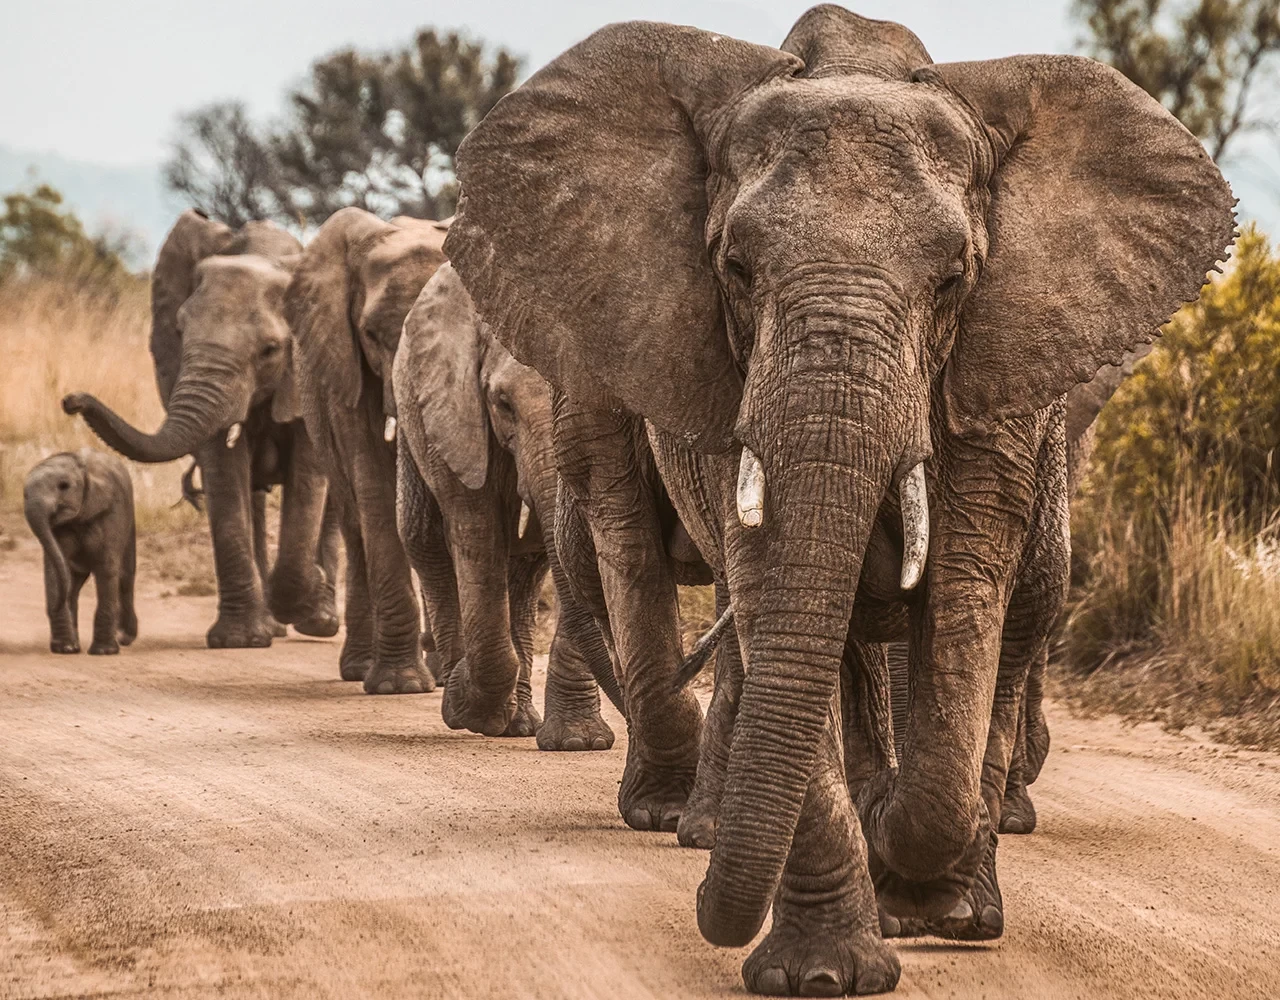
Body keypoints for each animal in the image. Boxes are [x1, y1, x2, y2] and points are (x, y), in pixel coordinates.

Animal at [25, 450, 137, 655]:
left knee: (125, 577)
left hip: (130, 520)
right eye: (24, 494)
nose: (54, 606)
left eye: (64, 486)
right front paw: (65, 649)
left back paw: (124, 638)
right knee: (73, 584)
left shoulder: (112, 512)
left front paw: (104, 652)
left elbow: (106, 567)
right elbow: (56, 567)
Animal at [61, 211, 340, 647]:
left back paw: (320, 621)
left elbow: (309, 476)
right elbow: (224, 474)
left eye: (270, 350)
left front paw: (304, 591)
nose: (71, 400)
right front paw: (240, 641)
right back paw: (274, 624)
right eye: (178, 332)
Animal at [285, 206, 450, 691]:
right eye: (373, 334)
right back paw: (361, 668)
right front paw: (400, 685)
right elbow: (374, 482)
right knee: (355, 522)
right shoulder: (345, 364)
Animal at [391, 261, 627, 742]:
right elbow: (477, 533)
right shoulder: (457, 412)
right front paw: (470, 708)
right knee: (424, 539)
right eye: (502, 403)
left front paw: (579, 742)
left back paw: (518, 723)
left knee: (526, 570)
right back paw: (464, 699)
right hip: (413, 416)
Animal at [445, 5, 1233, 988]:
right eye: (735, 269)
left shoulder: (998, 376)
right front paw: (823, 972)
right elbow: (774, 596)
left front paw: (925, 892)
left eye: (954, 280)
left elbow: (964, 601)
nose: (707, 910)